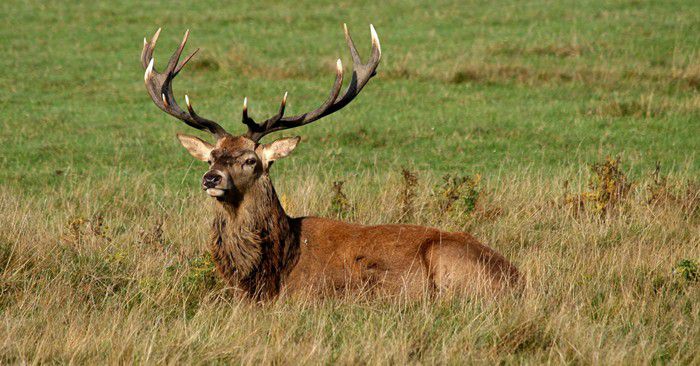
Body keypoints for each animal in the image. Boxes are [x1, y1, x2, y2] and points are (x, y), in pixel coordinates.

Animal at [141, 25, 520, 300]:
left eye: (251, 160)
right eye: (212, 156)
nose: (211, 178)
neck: (275, 265)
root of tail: (518, 278)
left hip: (447, 262)